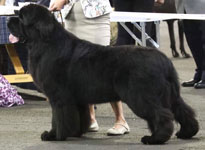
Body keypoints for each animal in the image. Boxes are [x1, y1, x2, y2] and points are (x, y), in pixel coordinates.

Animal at [8, 3, 199, 144]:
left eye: (21, 17)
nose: (9, 19)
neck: (44, 42)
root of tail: (164, 60)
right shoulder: (76, 98)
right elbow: (80, 116)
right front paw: (76, 132)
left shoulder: (58, 96)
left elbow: (58, 117)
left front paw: (53, 135)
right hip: (169, 93)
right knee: (182, 109)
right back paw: (187, 132)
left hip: (141, 95)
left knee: (162, 114)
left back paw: (155, 138)